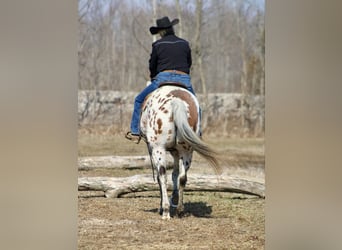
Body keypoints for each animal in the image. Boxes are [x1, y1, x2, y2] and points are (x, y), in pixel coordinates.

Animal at [140, 84, 220, 219]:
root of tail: (177, 101)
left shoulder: (152, 149)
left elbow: (162, 176)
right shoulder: (176, 153)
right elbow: (175, 175)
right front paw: (175, 199)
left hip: (158, 149)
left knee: (162, 175)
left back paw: (165, 211)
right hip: (187, 152)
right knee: (182, 177)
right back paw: (179, 210)